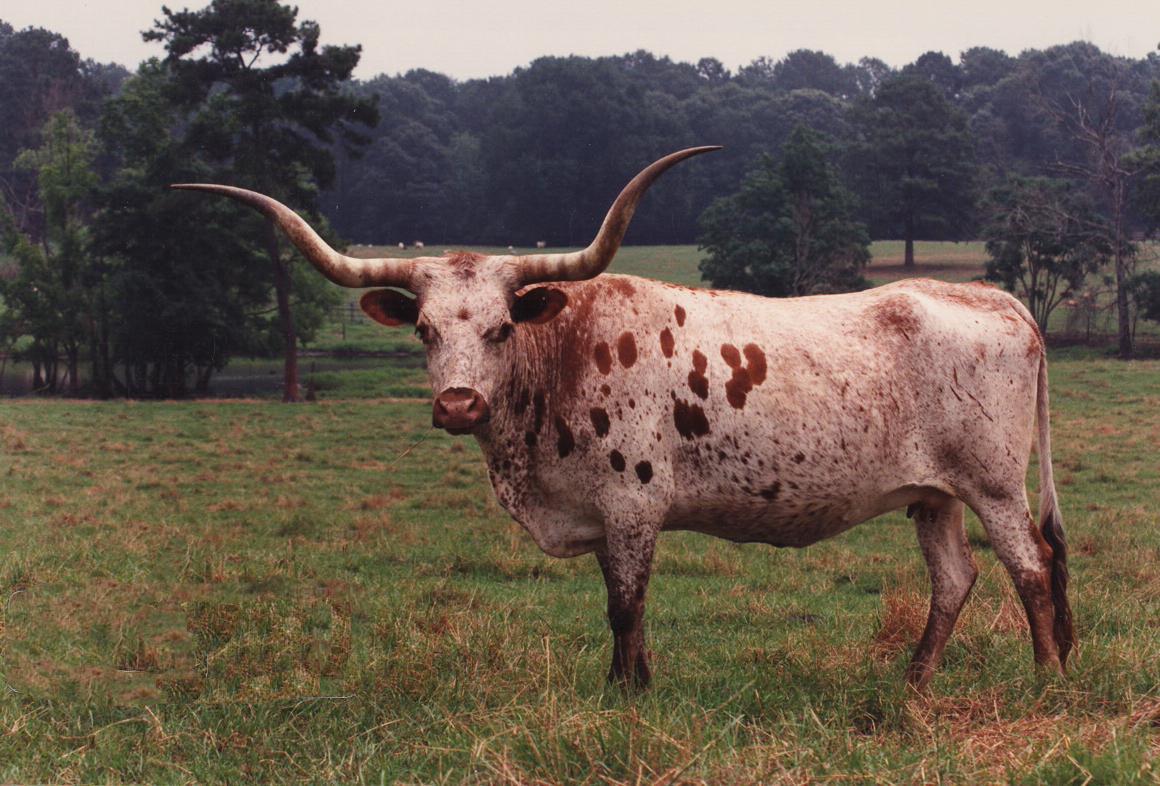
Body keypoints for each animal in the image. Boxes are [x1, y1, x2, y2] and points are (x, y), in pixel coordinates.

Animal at [172, 147, 1074, 691]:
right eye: (424, 331)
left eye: (500, 328)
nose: (458, 403)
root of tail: (1003, 303)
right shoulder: (604, 516)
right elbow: (621, 604)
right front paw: (632, 684)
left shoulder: (634, 505)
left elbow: (625, 605)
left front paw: (626, 695)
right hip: (933, 493)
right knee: (954, 578)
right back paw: (913, 683)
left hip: (995, 484)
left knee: (1030, 568)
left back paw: (1044, 678)